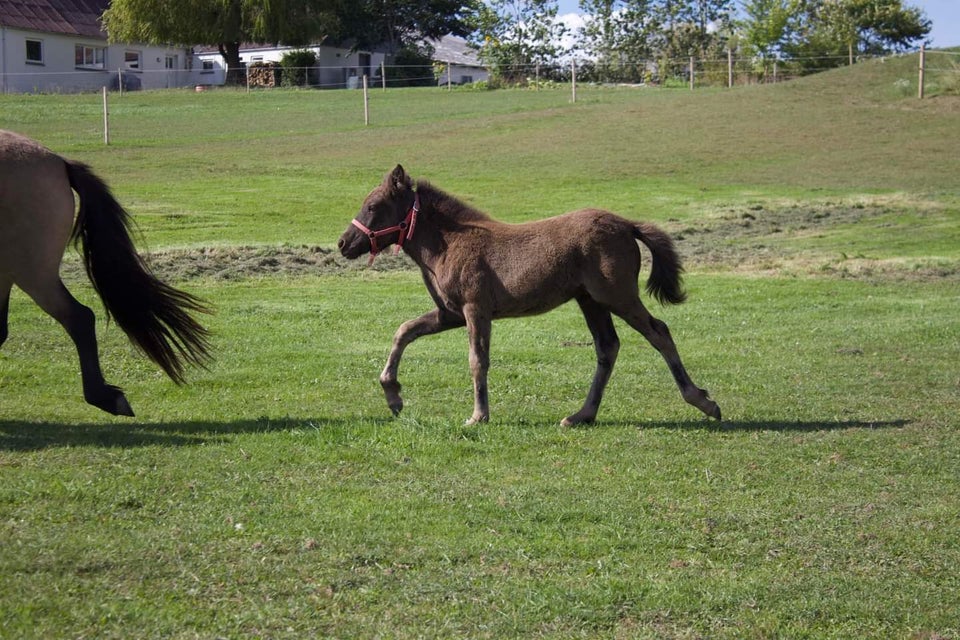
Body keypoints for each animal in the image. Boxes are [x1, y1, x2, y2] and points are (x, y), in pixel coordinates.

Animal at [340, 165, 720, 424]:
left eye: (373, 206)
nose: (344, 243)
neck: (450, 243)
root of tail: (627, 224)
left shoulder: (475, 310)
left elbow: (477, 360)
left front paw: (478, 415)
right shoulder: (451, 314)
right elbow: (404, 330)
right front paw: (393, 395)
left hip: (618, 296)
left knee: (659, 333)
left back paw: (703, 401)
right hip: (591, 301)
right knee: (607, 347)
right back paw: (581, 415)